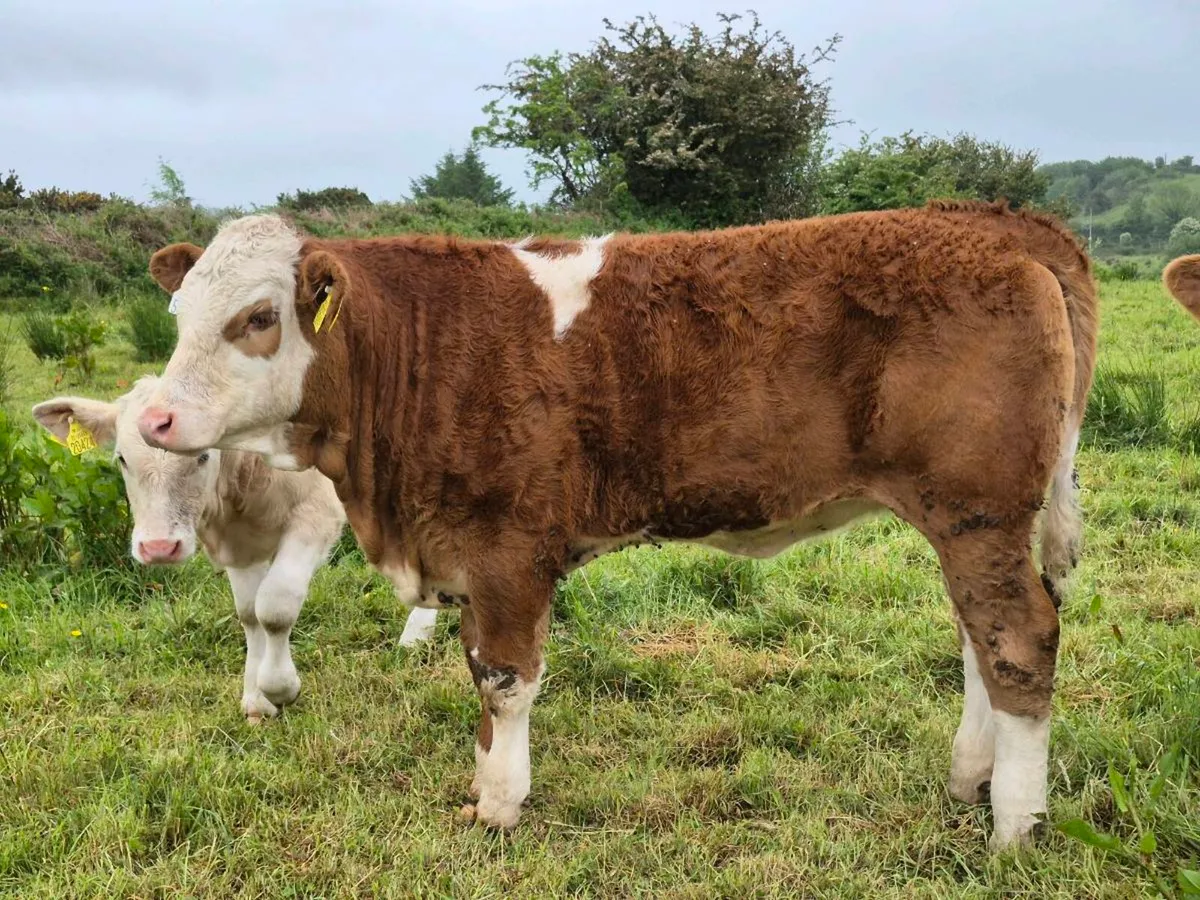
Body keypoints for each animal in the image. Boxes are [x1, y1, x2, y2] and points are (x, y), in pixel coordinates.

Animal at [31, 377, 440, 721]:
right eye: (121, 458)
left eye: (202, 456)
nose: (159, 547)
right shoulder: (240, 545)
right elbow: (249, 613)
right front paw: (256, 699)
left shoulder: (314, 513)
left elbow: (274, 607)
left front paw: (280, 688)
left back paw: (416, 632)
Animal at [132, 199, 1098, 852]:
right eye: (177, 317)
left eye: (258, 318)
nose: (157, 420)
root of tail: (992, 221)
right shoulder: (465, 550)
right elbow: (477, 670)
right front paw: (483, 784)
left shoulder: (508, 546)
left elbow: (505, 679)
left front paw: (501, 805)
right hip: (972, 523)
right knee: (979, 640)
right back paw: (971, 779)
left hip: (977, 512)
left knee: (1018, 640)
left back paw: (1014, 821)